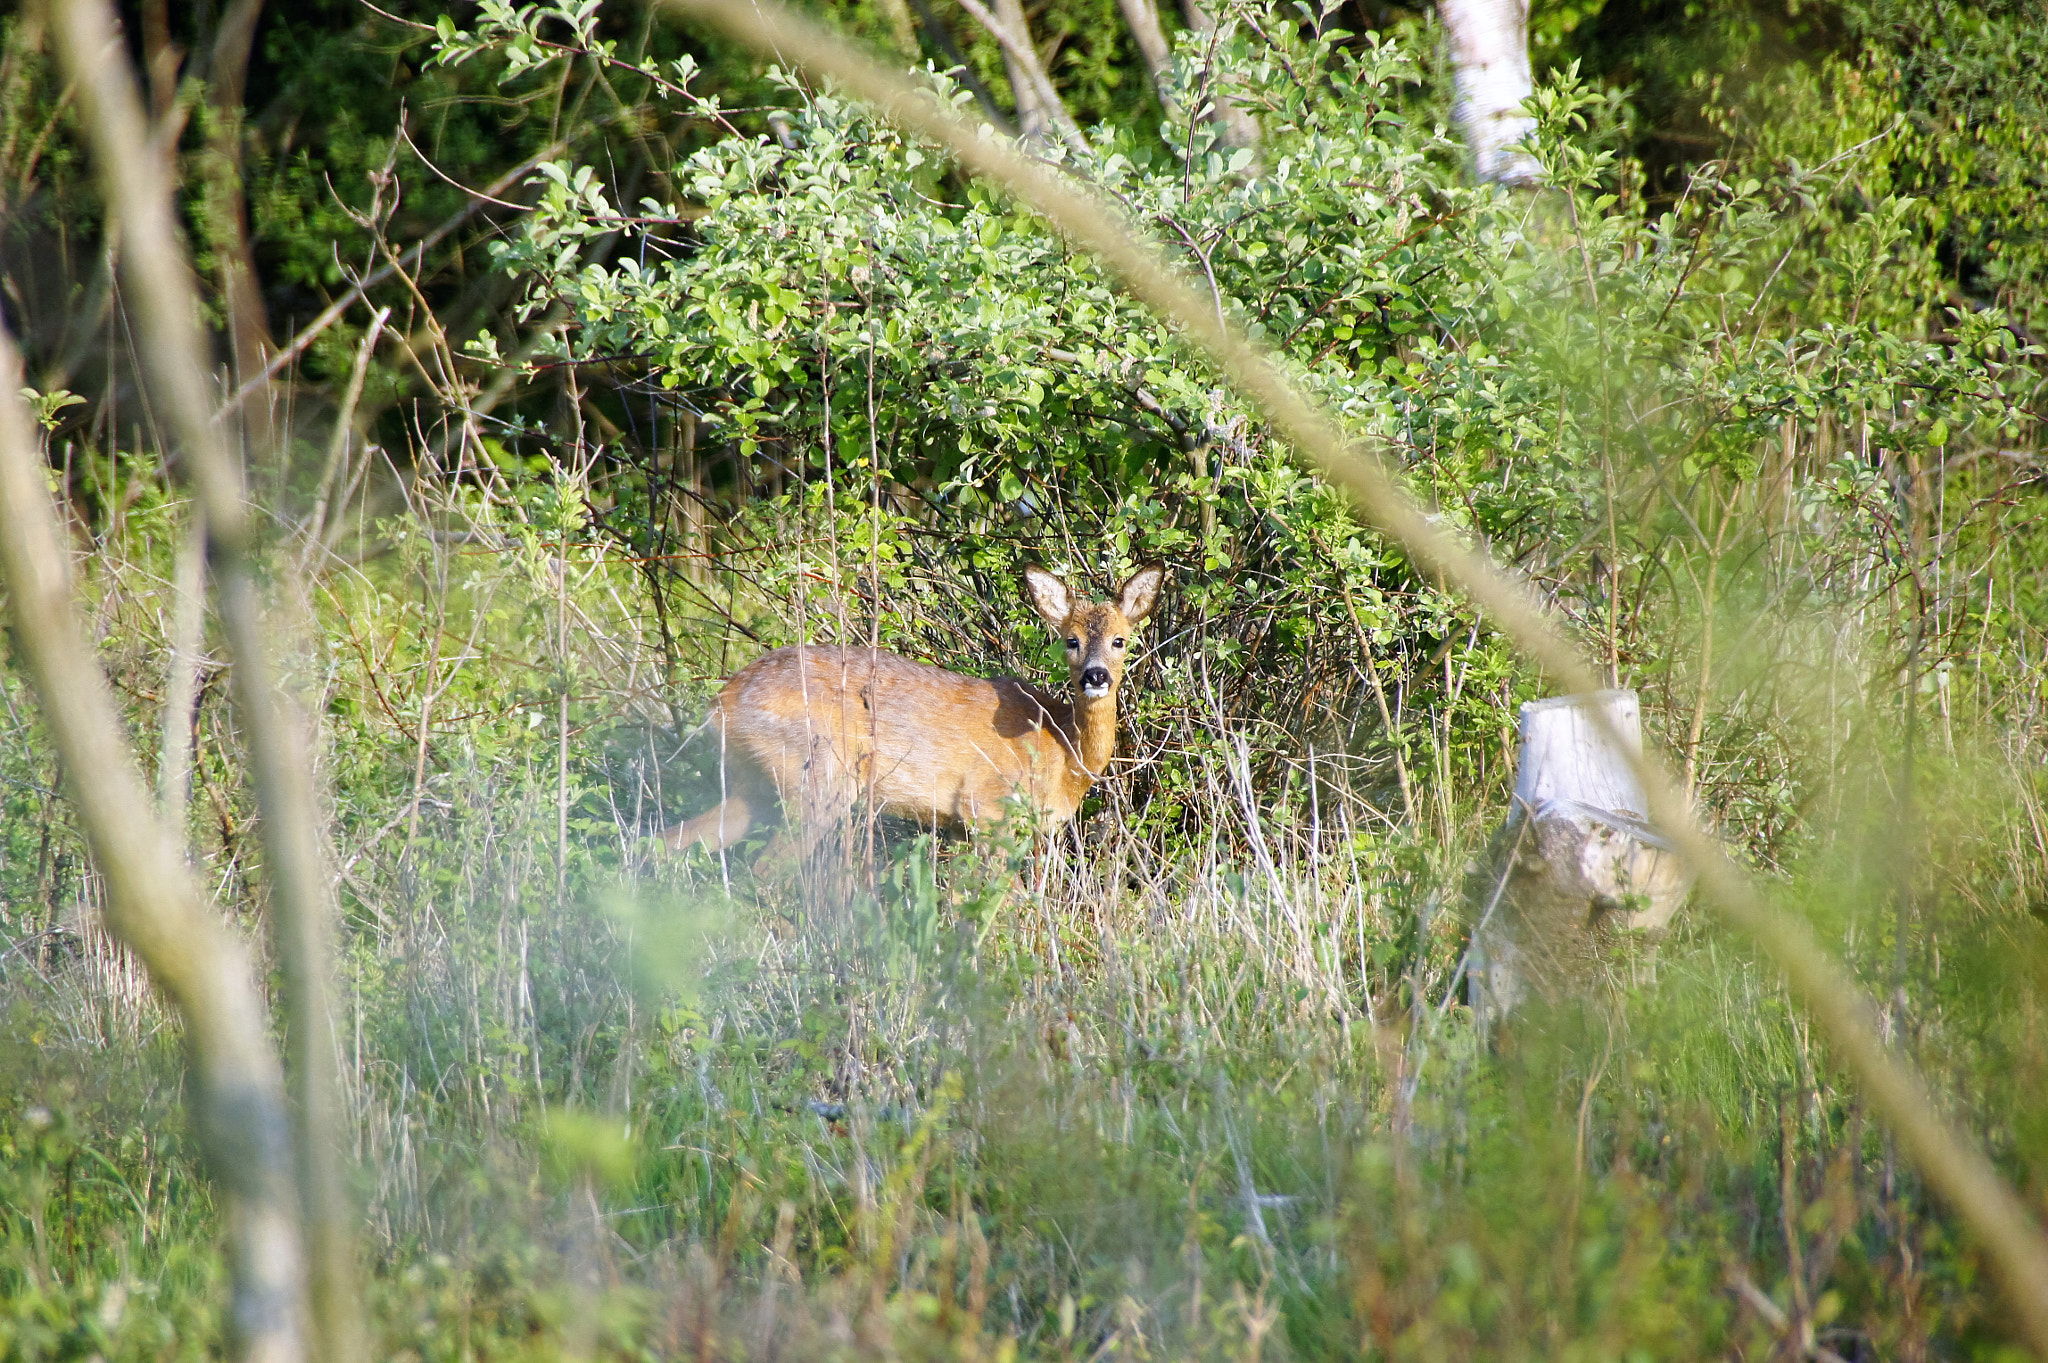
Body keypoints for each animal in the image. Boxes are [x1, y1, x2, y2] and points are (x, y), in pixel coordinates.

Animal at [662, 562, 1167, 857]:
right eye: (1071, 640)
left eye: (1120, 639)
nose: (1096, 676)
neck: (1064, 752)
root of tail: (723, 699)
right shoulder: (986, 807)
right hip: (820, 778)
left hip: (754, 787)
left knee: (669, 844)